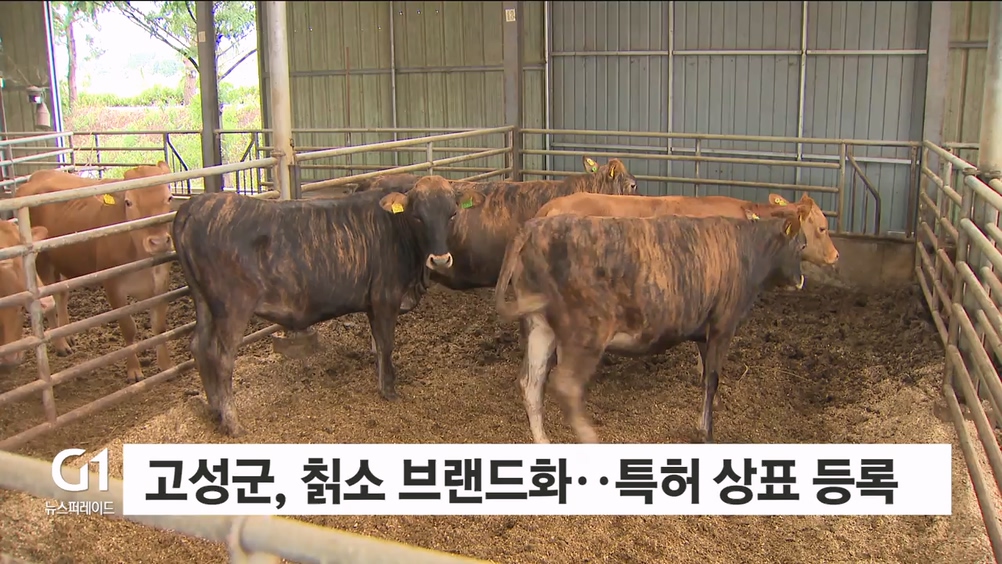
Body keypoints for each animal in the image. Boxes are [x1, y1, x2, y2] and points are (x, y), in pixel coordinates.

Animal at [14, 162, 176, 383]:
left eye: (169, 197)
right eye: (128, 202)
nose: (158, 242)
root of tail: (36, 176)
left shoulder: (161, 280)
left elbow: (159, 326)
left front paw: (166, 366)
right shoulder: (113, 285)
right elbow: (128, 327)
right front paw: (134, 370)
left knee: (61, 294)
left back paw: (67, 334)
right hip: (41, 262)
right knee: (48, 302)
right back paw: (60, 344)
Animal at [171, 175, 485, 437]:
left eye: (452, 213)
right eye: (418, 217)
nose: (440, 260)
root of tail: (199, 203)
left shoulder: (372, 302)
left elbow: (377, 344)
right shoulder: (386, 297)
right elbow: (386, 344)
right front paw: (389, 390)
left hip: (203, 301)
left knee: (200, 347)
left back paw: (215, 409)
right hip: (232, 307)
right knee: (222, 358)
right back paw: (233, 424)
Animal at [494, 209, 810, 445]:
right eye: (802, 245)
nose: (800, 281)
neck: (748, 249)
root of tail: (534, 227)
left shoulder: (704, 328)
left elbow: (705, 375)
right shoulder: (724, 322)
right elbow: (712, 378)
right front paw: (707, 432)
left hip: (539, 325)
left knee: (531, 382)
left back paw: (543, 440)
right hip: (587, 331)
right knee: (565, 385)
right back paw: (589, 437)